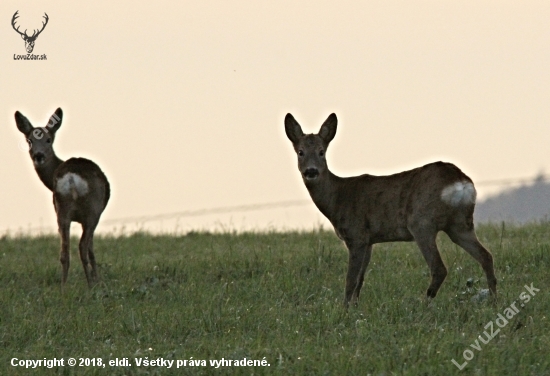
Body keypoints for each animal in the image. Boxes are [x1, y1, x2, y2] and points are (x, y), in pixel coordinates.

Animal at [14, 108, 110, 288]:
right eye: (29, 140)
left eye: (48, 139)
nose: (38, 155)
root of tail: (71, 178)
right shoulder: (95, 214)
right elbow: (92, 249)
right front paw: (98, 280)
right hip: (91, 211)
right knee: (82, 247)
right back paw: (90, 286)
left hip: (62, 210)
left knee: (64, 252)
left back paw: (63, 288)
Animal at [286, 113, 498, 306]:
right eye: (300, 152)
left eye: (321, 151)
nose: (311, 171)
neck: (337, 198)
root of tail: (460, 181)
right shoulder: (369, 240)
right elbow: (360, 280)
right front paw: (355, 307)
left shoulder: (356, 235)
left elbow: (350, 280)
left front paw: (344, 310)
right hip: (460, 224)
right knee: (486, 256)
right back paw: (493, 299)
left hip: (422, 222)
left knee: (439, 268)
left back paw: (424, 304)